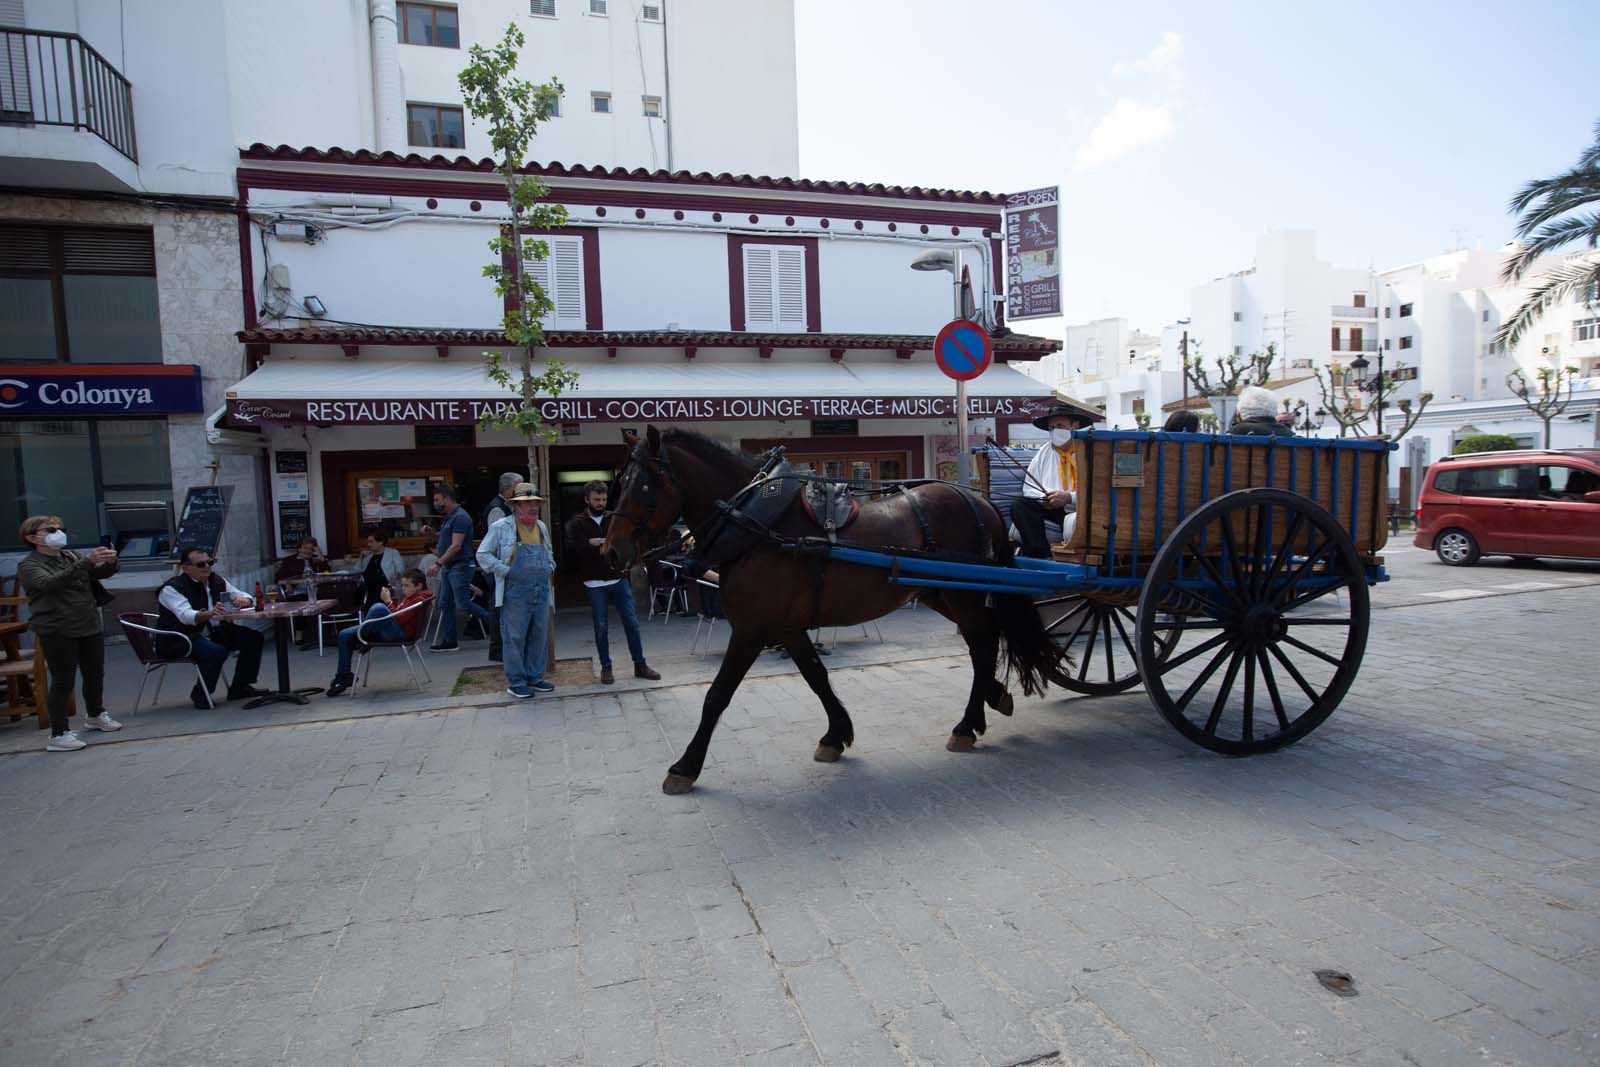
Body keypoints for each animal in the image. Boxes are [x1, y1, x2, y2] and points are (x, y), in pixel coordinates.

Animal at [604, 425, 1068, 793]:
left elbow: (717, 695)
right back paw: (993, 697)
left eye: (642, 486)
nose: (610, 552)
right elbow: (817, 677)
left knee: (983, 644)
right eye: (620, 481)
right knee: (985, 641)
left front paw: (685, 766)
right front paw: (836, 735)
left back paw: (967, 724)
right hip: (941, 592)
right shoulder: (785, 628)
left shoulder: (751, 628)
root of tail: (981, 502)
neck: (754, 520)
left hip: (963, 595)